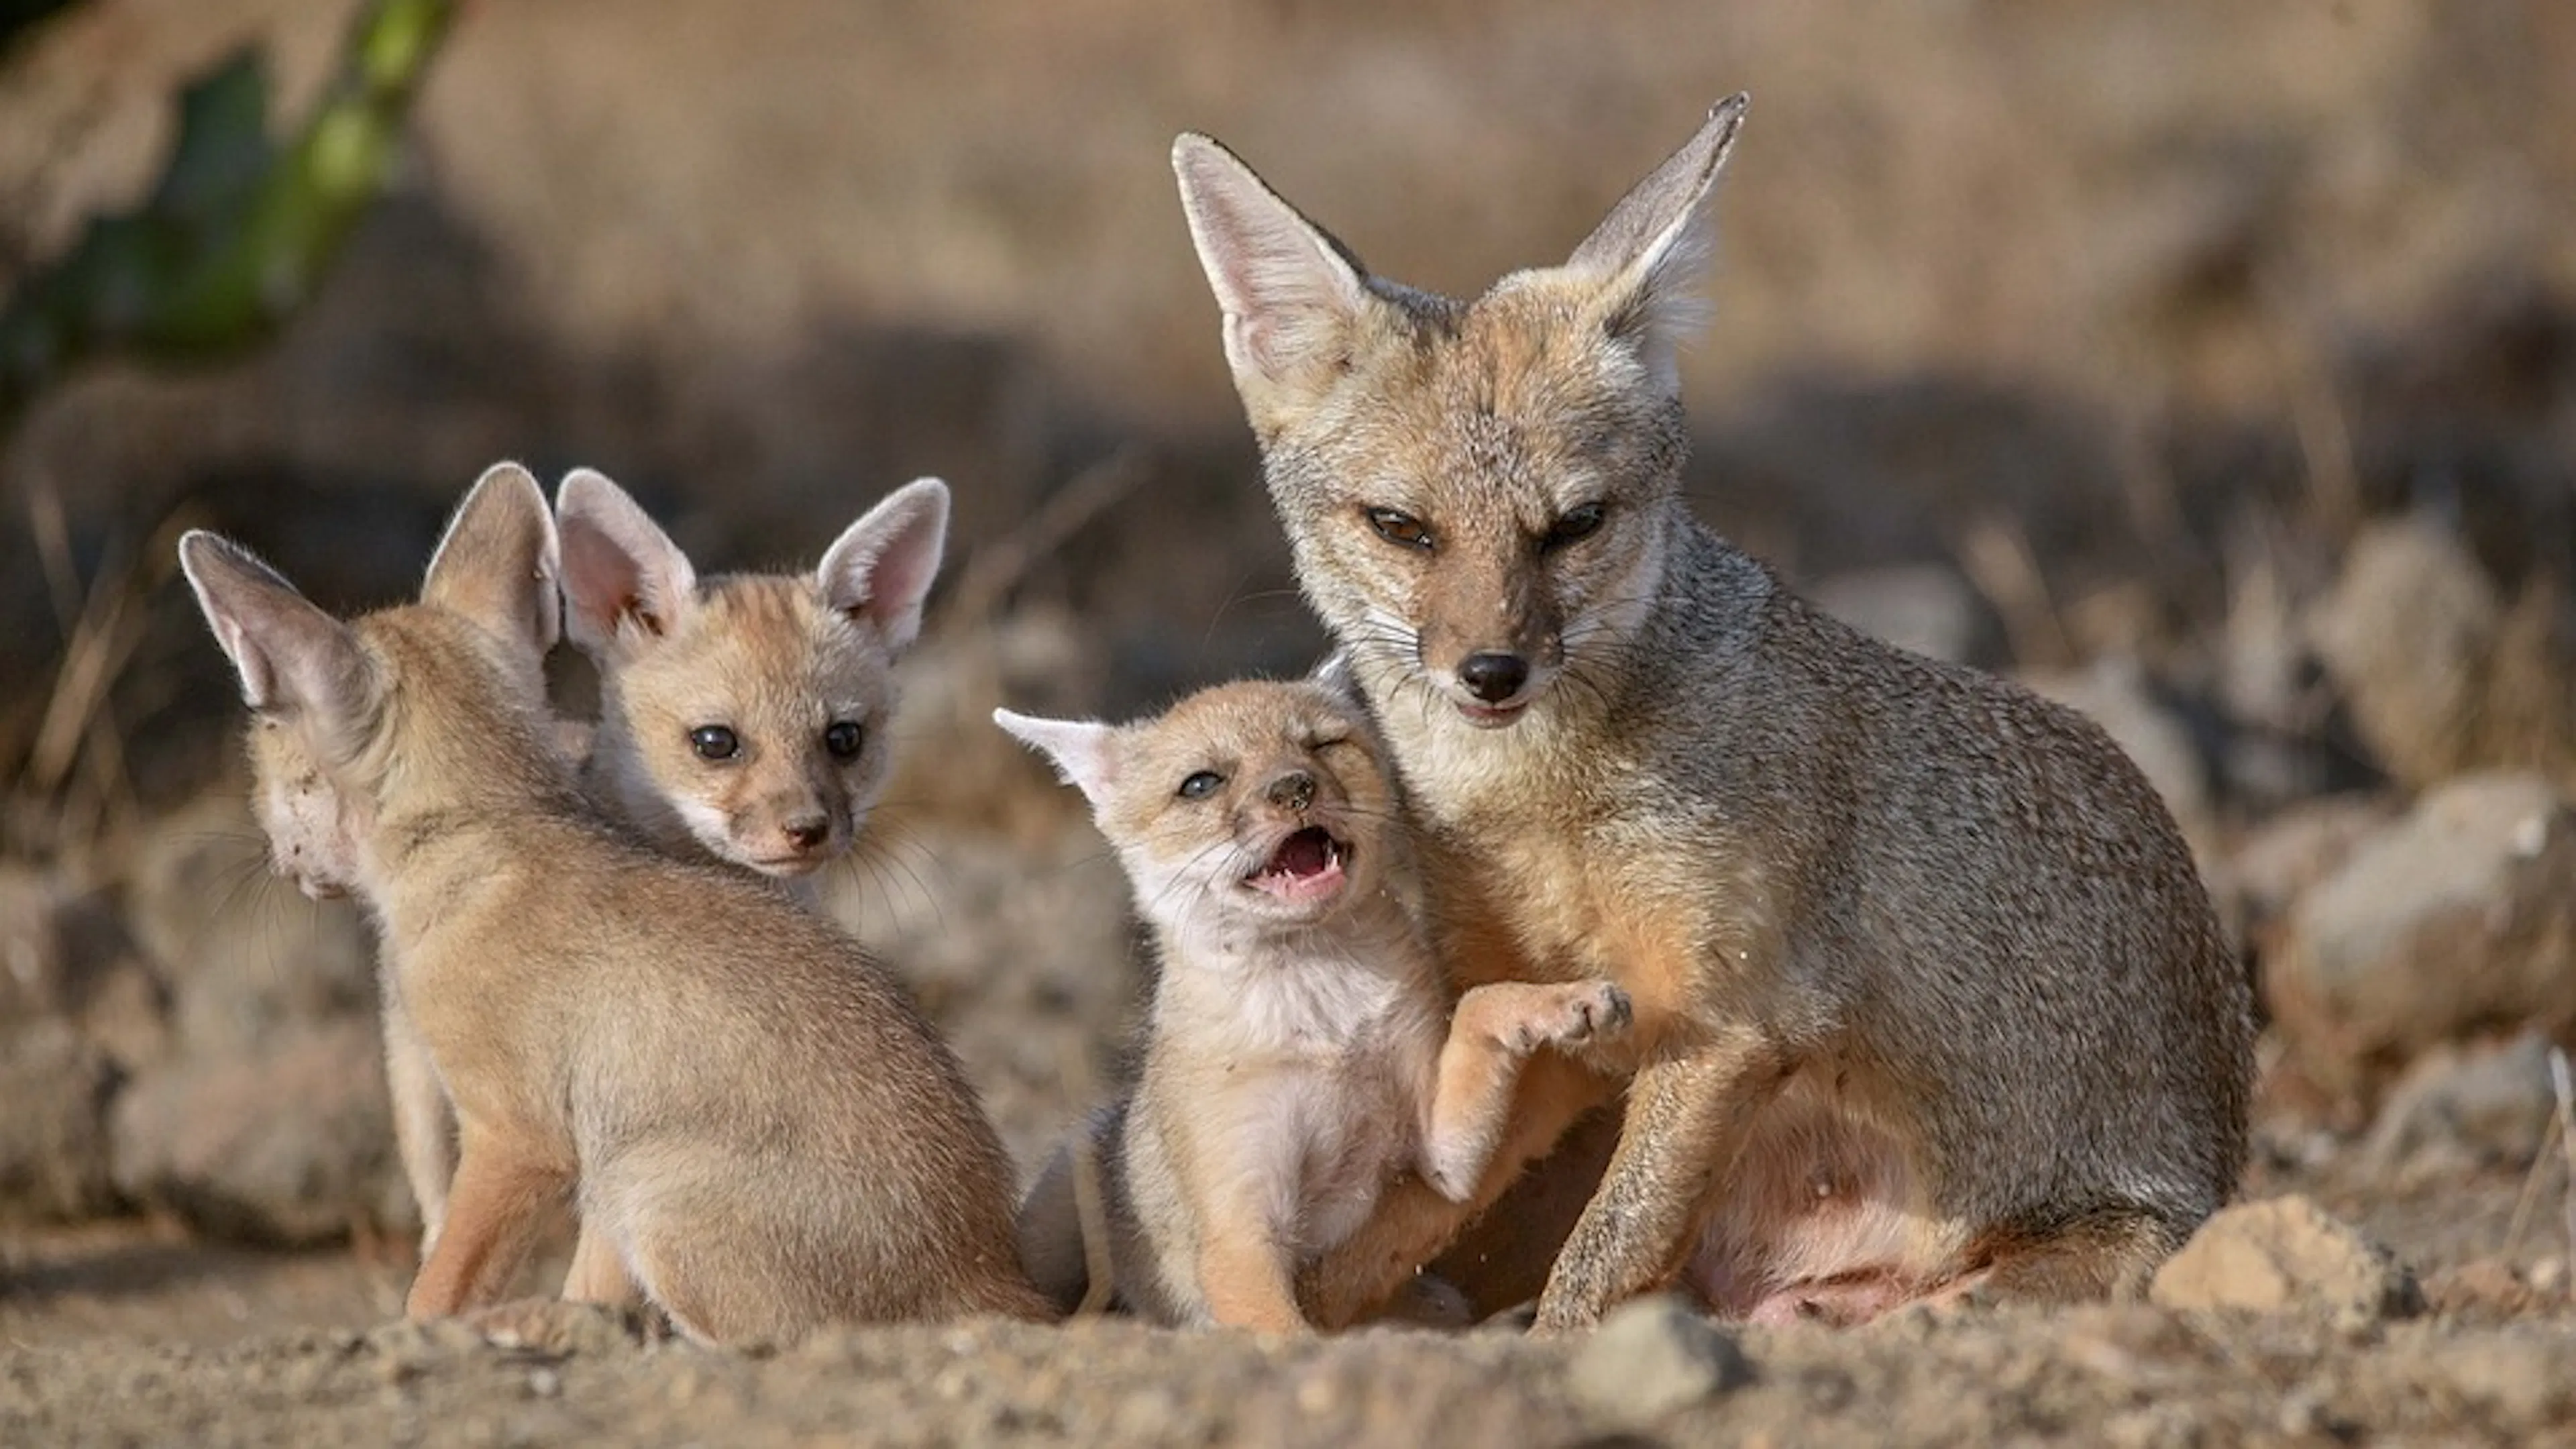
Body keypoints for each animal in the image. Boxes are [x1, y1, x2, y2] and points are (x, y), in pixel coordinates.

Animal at [179, 464, 1050, 1342]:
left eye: (269, 771)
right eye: (716, 742)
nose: (276, 856)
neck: (500, 831)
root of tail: (995, 1271)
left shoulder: (519, 1138)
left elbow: (435, 1292)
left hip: (639, 1184)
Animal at [995, 679, 1630, 1331]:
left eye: (1324, 745)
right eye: (1201, 783)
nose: (1295, 787)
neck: (1323, 1017)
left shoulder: (1444, 1163)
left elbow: (1482, 1001)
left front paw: (1564, 1002)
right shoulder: (1239, 1235)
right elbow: (1288, 1334)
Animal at [1169, 95, 2254, 1332]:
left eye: (1576, 525)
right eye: (1402, 528)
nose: (1493, 671)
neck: (1536, 812)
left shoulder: (1729, 1024)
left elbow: (1597, 1261)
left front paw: (1549, 1349)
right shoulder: (1561, 1042)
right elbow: (1417, 1205)